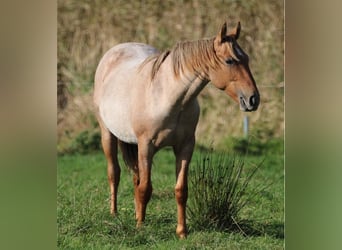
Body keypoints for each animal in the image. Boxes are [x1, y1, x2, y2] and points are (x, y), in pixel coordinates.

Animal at [93, 22, 260, 238]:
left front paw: (182, 231)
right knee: (114, 173)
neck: (169, 97)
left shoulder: (185, 147)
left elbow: (181, 190)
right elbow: (145, 188)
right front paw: (140, 227)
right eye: (230, 61)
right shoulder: (146, 146)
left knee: (135, 176)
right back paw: (114, 214)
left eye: (246, 58)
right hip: (108, 135)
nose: (253, 99)